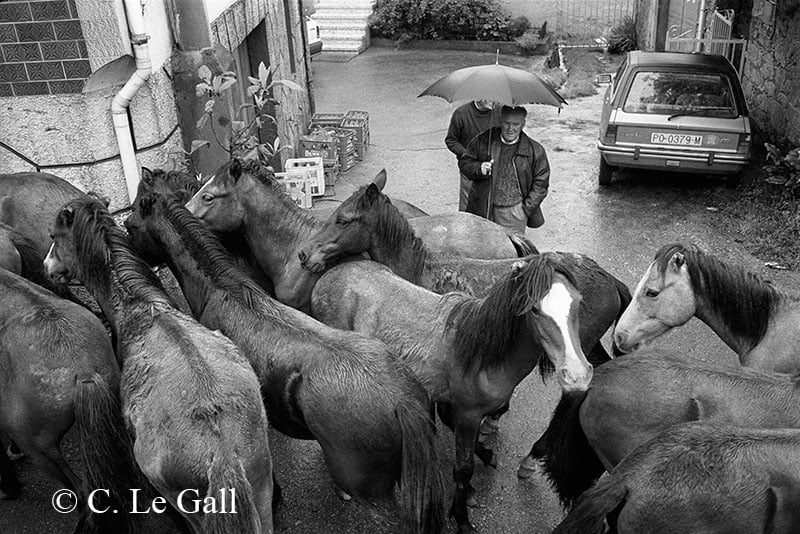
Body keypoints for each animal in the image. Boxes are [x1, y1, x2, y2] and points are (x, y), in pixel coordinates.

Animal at [310, 254, 592, 533]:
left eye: (578, 302)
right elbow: (463, 468)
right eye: (535, 309)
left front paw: (480, 469)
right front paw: (462, 519)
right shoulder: (468, 415)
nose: (577, 375)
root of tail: (329, 275)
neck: (482, 354)